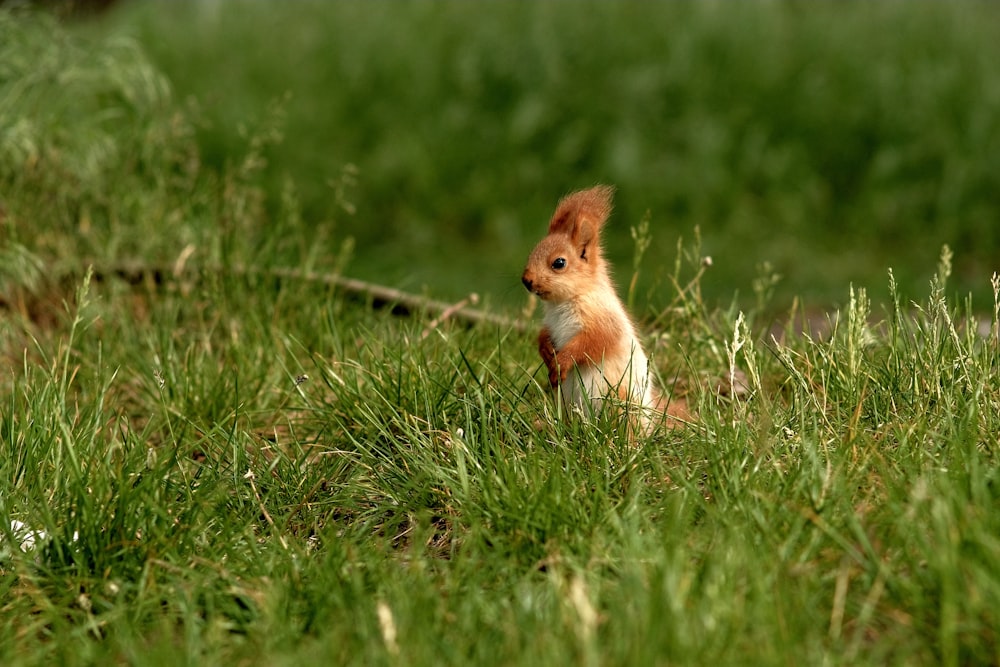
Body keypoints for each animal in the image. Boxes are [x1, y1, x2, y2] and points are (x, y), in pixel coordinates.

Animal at [520, 185, 676, 430]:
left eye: (559, 263)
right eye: (532, 252)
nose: (526, 280)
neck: (563, 302)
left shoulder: (603, 320)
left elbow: (591, 342)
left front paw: (561, 363)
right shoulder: (551, 324)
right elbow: (544, 335)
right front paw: (545, 352)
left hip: (619, 402)